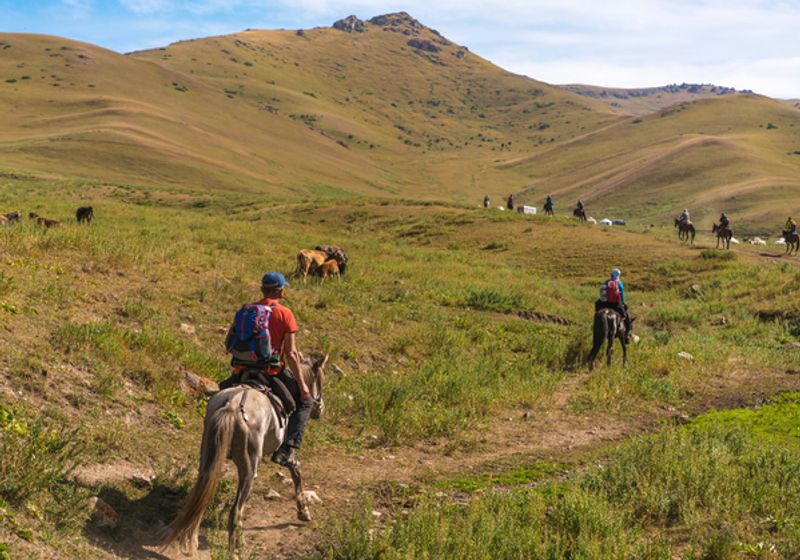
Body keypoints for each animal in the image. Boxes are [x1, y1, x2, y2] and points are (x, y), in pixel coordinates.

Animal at [161, 354, 326, 556]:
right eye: (320, 381)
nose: (320, 408)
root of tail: (232, 406)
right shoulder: (285, 453)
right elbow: (297, 471)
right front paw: (304, 512)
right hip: (249, 467)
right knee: (236, 510)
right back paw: (236, 550)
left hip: (208, 457)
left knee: (202, 495)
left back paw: (192, 539)